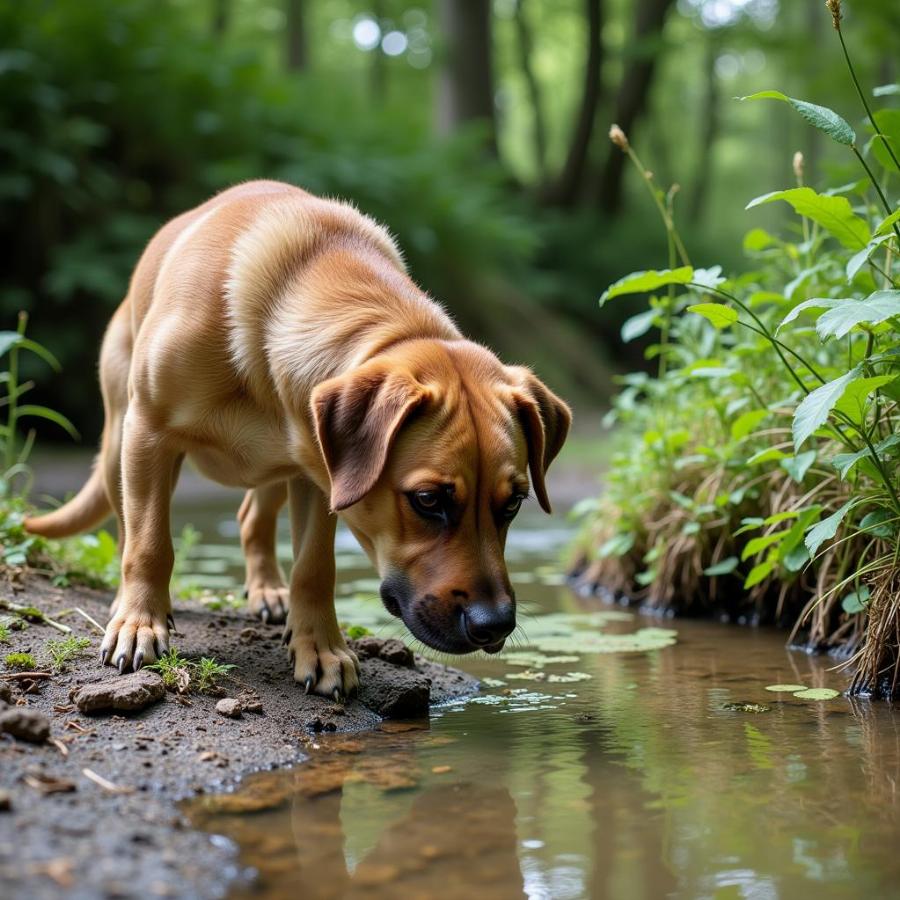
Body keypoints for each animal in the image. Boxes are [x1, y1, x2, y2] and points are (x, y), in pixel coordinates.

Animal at [28, 179, 572, 700]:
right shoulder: (150, 433)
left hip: (271, 471)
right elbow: (150, 543)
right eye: (427, 500)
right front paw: (140, 622)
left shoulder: (318, 474)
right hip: (119, 442)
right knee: (128, 525)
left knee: (252, 518)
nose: (494, 625)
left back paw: (268, 591)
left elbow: (314, 567)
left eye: (514, 504)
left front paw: (321, 648)